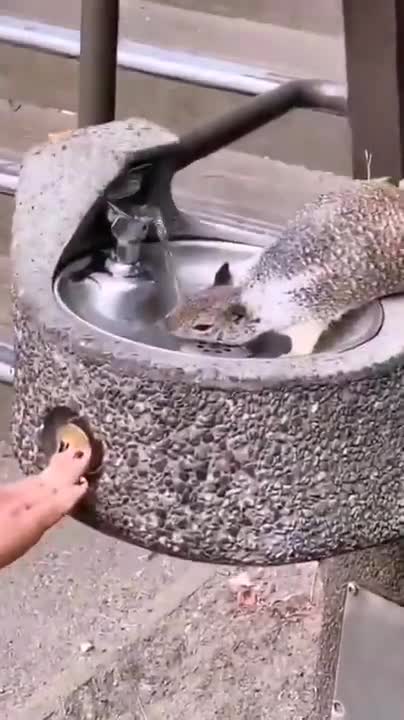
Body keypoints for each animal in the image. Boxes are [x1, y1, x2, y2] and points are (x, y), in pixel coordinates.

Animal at [165, 180, 404, 356]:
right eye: (191, 297)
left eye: (202, 327)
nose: (166, 324)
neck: (253, 285)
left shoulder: (306, 317)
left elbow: (303, 347)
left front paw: (287, 356)